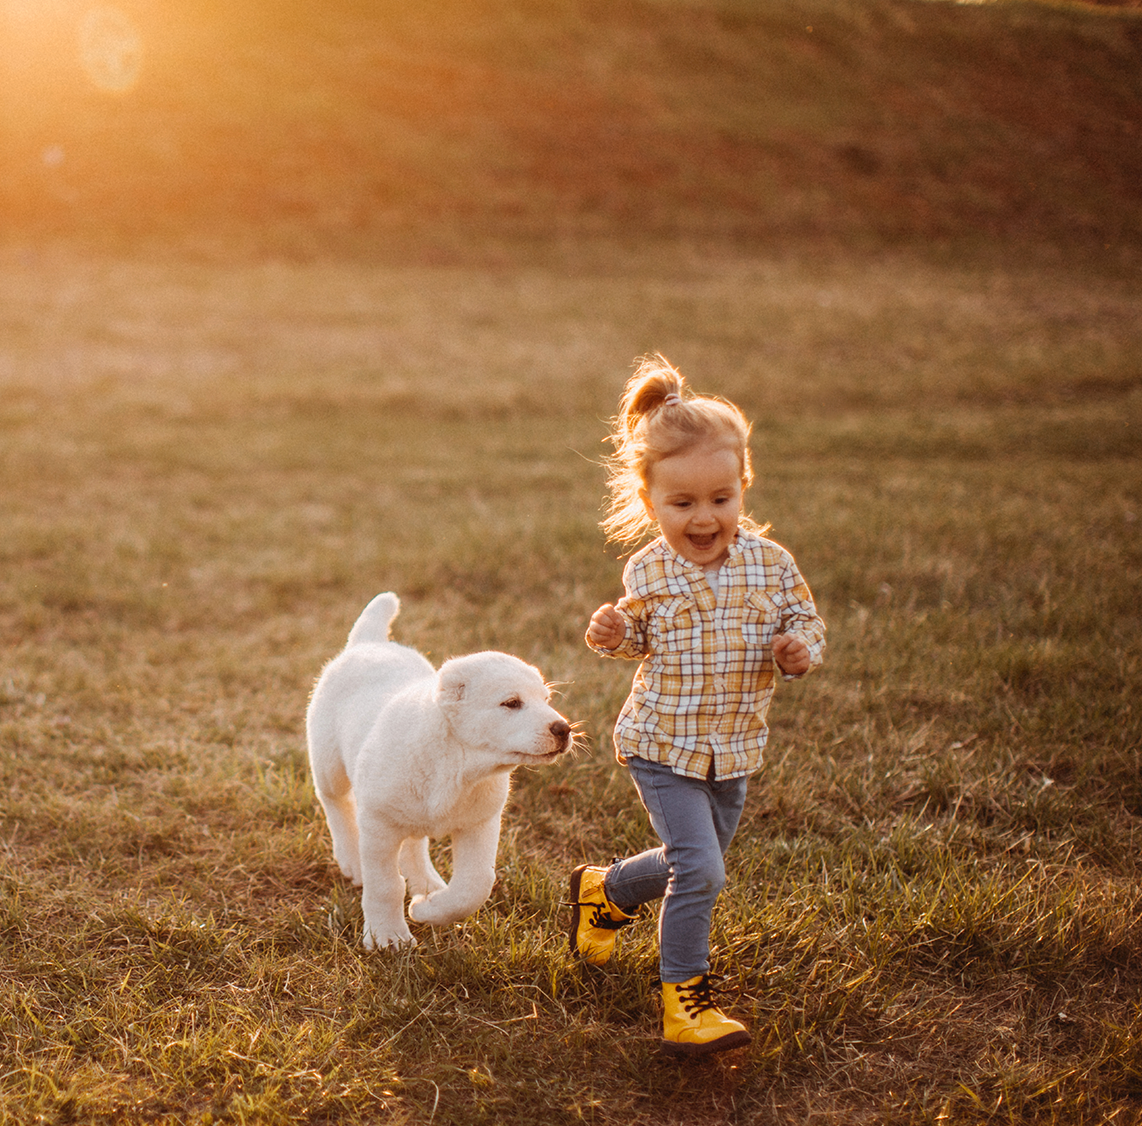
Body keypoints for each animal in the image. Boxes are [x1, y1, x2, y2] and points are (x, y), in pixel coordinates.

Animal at [306, 589, 571, 950]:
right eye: (511, 703)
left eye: (546, 700)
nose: (564, 729)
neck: (458, 765)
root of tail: (369, 643)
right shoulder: (378, 825)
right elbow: (385, 885)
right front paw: (388, 936)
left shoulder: (480, 823)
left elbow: (474, 886)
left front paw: (428, 909)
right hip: (329, 764)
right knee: (334, 803)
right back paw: (351, 860)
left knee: (414, 844)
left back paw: (427, 885)